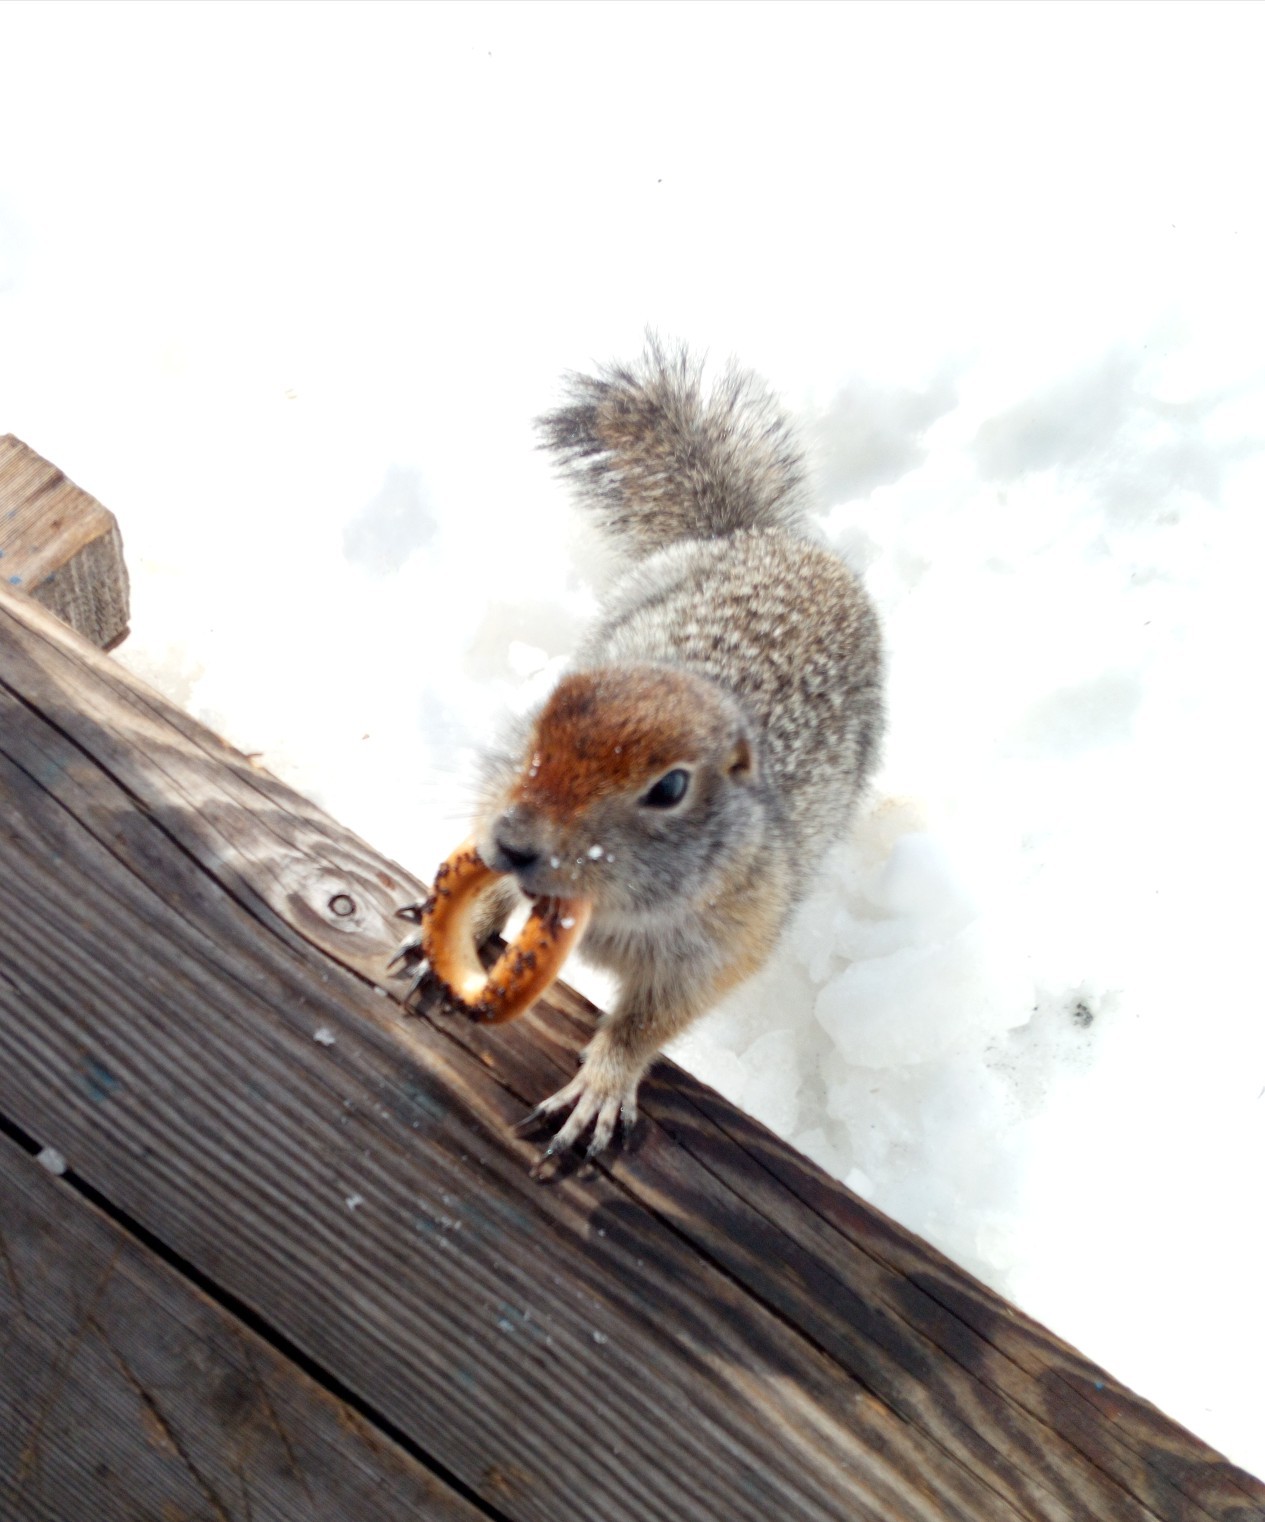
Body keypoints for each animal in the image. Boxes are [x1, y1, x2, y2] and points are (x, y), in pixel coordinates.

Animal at [426, 336, 882, 1162]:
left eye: (669, 789)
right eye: (540, 717)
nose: (513, 842)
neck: (601, 909)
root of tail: (760, 537)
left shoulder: (725, 937)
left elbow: (649, 1022)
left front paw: (601, 1086)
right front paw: (460, 932)